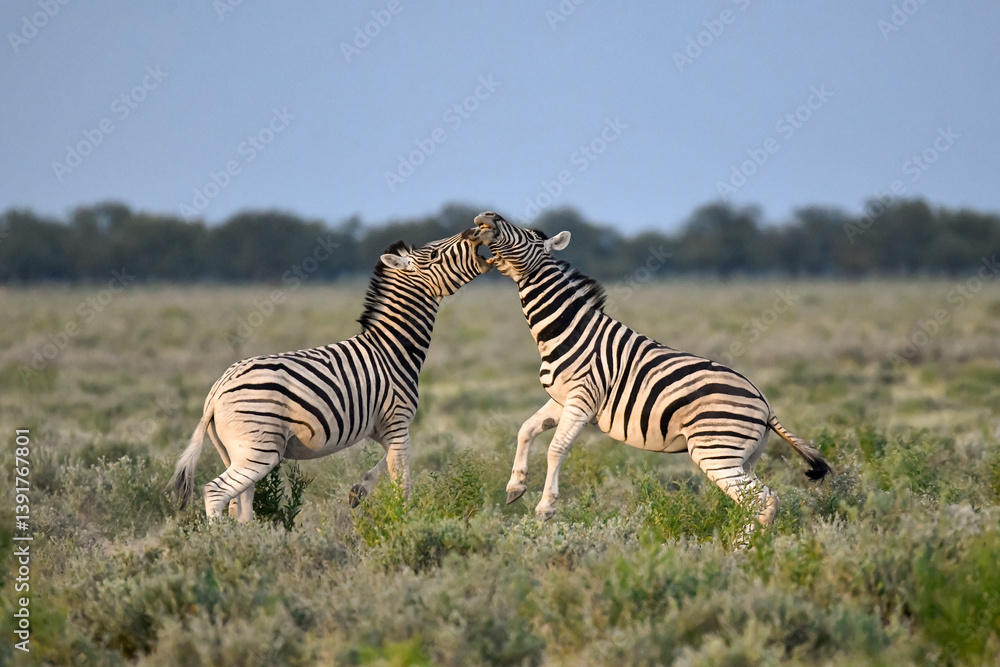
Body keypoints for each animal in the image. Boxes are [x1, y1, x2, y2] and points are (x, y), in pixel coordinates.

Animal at [169, 229, 491, 522]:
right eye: (434, 253)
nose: (474, 232)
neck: (391, 347)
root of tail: (218, 390)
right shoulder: (398, 421)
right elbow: (402, 481)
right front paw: (406, 520)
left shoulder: (382, 429)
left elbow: (383, 466)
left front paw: (359, 490)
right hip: (259, 450)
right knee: (216, 492)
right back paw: (221, 542)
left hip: (235, 450)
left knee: (241, 503)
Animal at [473, 211, 829, 528]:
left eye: (524, 236)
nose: (485, 217)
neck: (569, 330)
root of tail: (765, 405)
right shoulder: (562, 400)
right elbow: (526, 429)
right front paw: (515, 486)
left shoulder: (582, 399)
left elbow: (556, 449)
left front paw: (545, 507)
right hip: (743, 458)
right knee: (762, 500)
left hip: (716, 452)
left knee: (761, 503)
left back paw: (741, 554)